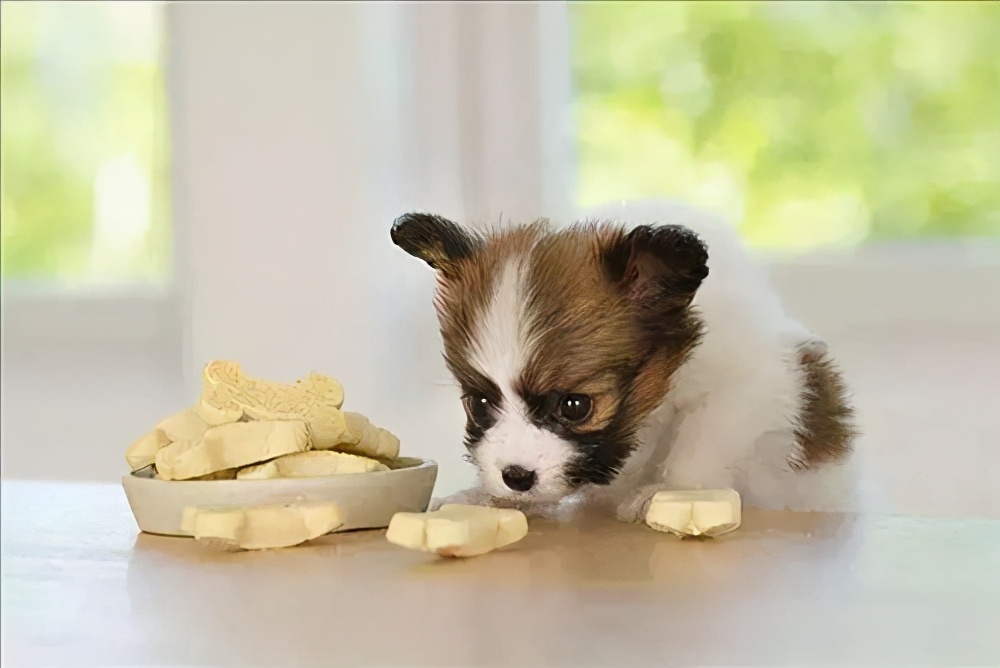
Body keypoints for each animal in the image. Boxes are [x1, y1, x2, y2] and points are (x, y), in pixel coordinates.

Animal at [390, 201, 860, 524]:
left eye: (576, 406)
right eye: (479, 404)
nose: (516, 477)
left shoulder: (751, 386)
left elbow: (700, 441)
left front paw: (672, 493)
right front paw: (487, 498)